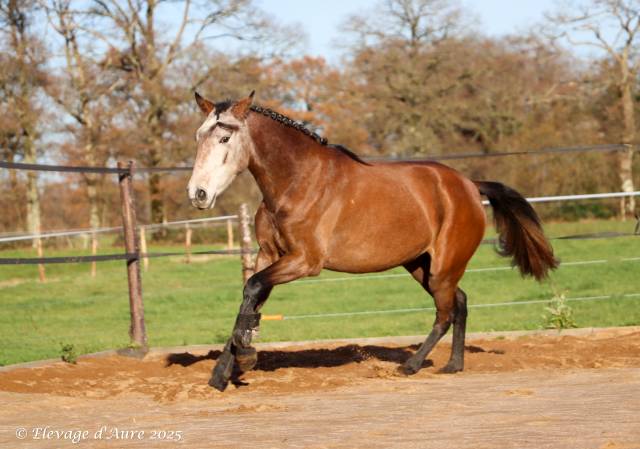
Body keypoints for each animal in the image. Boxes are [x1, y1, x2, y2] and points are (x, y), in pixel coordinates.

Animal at [187, 91, 558, 392]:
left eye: (224, 137)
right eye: (199, 136)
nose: (198, 194)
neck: (297, 181)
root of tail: (469, 184)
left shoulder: (305, 261)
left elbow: (251, 290)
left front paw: (246, 356)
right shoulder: (269, 255)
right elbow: (249, 298)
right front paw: (222, 373)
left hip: (443, 267)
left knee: (445, 313)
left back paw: (411, 366)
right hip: (420, 265)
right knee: (461, 302)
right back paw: (454, 365)